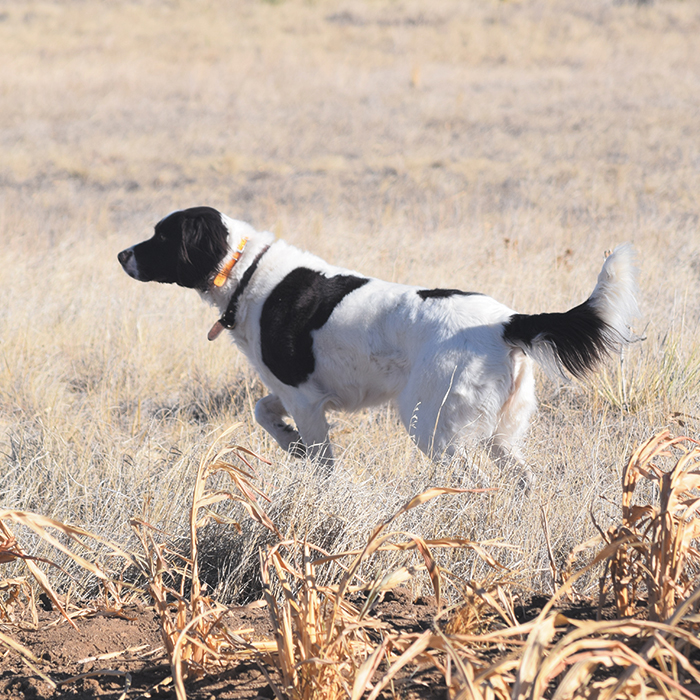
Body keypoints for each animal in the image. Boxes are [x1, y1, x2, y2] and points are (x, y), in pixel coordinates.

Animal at [119, 206, 640, 470]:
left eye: (160, 236)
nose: (121, 254)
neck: (246, 271)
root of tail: (506, 321)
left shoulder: (306, 399)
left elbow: (321, 462)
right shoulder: (287, 390)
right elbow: (263, 413)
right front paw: (288, 442)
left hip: (432, 425)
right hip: (501, 433)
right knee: (519, 479)